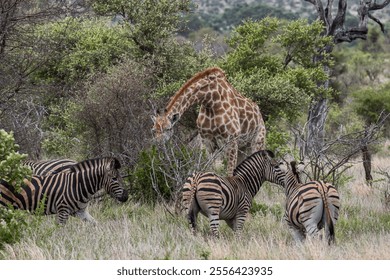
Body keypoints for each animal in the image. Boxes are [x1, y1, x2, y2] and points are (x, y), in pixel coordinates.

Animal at [0, 156, 128, 224]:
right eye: (114, 178)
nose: (126, 197)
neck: (77, 185)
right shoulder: (63, 210)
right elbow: (60, 233)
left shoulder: (81, 212)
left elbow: (95, 224)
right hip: (4, 205)